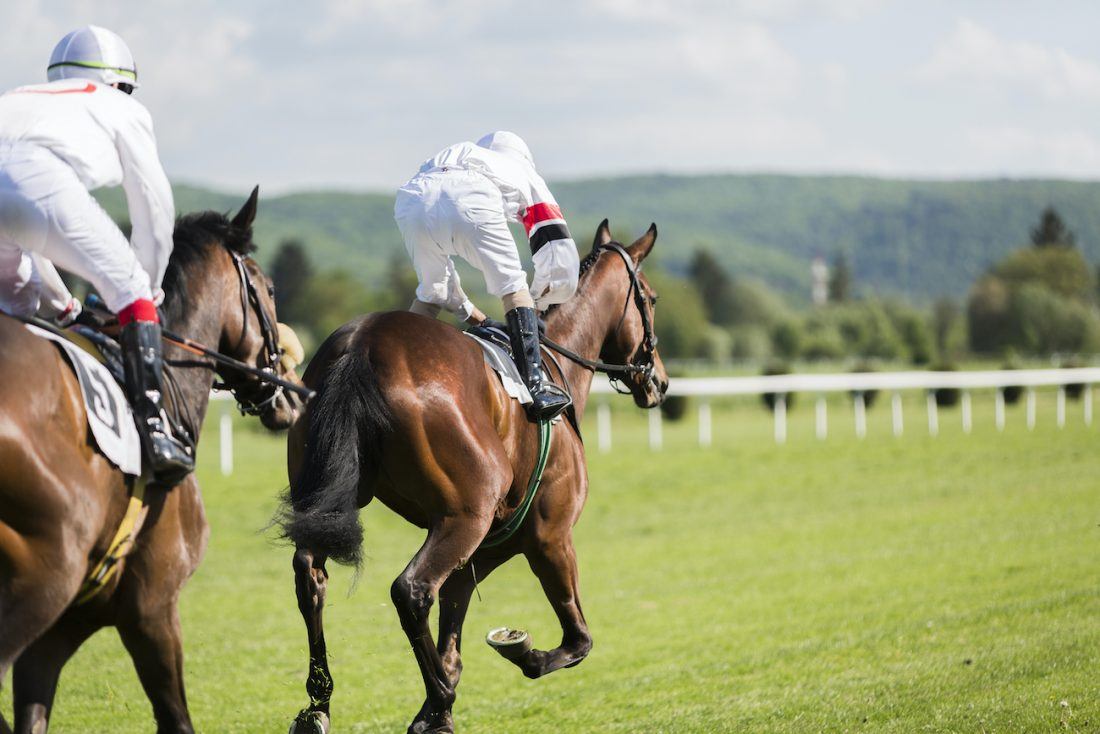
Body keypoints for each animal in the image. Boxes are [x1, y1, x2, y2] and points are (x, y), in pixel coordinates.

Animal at [0, 188, 303, 734]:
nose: (290, 392)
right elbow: (175, 718)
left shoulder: (56, 633)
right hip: (44, 578)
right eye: (268, 289)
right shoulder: (152, 607)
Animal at [281, 220, 669, 733]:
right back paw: (437, 694)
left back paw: (319, 703)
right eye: (651, 298)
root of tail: (363, 344)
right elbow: (577, 639)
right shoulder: (548, 536)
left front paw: (433, 713)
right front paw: (518, 653)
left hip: (336, 503)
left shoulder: (484, 547)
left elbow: (452, 643)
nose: (660, 380)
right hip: (466, 516)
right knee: (411, 590)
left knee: (311, 574)